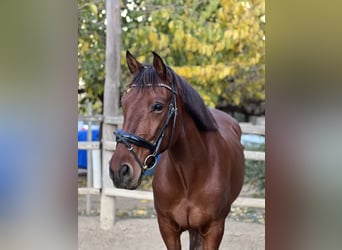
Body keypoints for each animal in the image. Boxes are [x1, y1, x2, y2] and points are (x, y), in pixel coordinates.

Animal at [109, 51, 246, 250]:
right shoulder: (167, 228)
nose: (119, 170)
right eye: (124, 103)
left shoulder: (214, 230)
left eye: (158, 106)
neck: (190, 175)